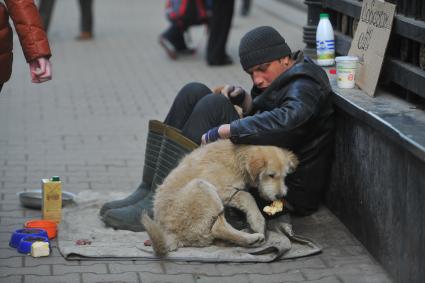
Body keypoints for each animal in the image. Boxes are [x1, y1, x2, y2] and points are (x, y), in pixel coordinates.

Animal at [141, 140, 296, 258]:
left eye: (284, 176)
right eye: (271, 175)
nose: (280, 196)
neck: (237, 157)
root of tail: (172, 235)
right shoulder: (221, 188)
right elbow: (247, 196)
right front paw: (257, 220)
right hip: (203, 187)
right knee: (218, 228)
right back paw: (252, 239)